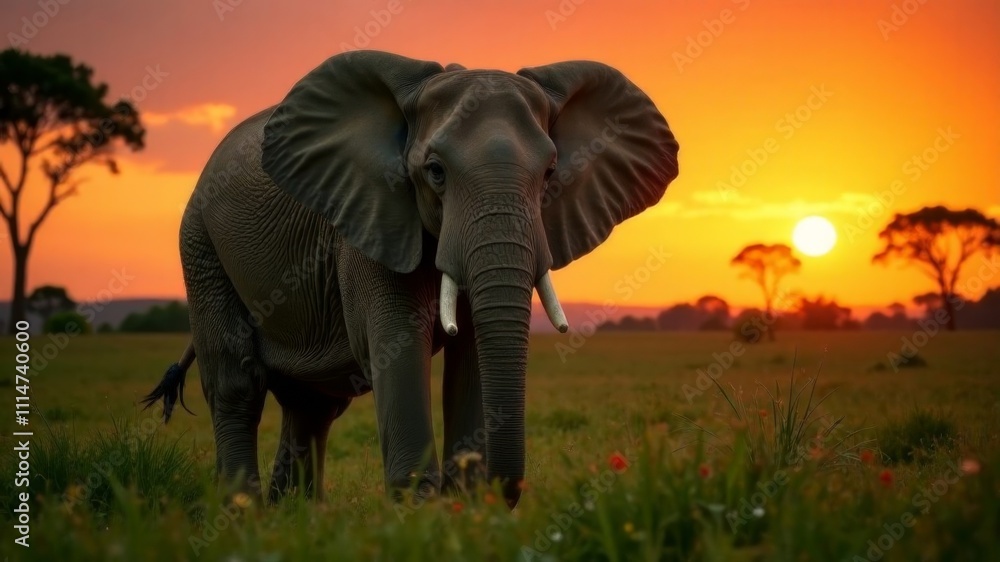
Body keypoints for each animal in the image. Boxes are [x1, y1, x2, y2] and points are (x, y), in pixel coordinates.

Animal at [142, 50, 679, 509]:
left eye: (550, 174)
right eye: (435, 172)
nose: (500, 492)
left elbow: (474, 355)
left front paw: (467, 513)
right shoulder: (369, 218)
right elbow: (397, 344)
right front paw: (420, 515)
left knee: (313, 405)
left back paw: (297, 517)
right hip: (200, 244)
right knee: (238, 381)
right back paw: (245, 515)